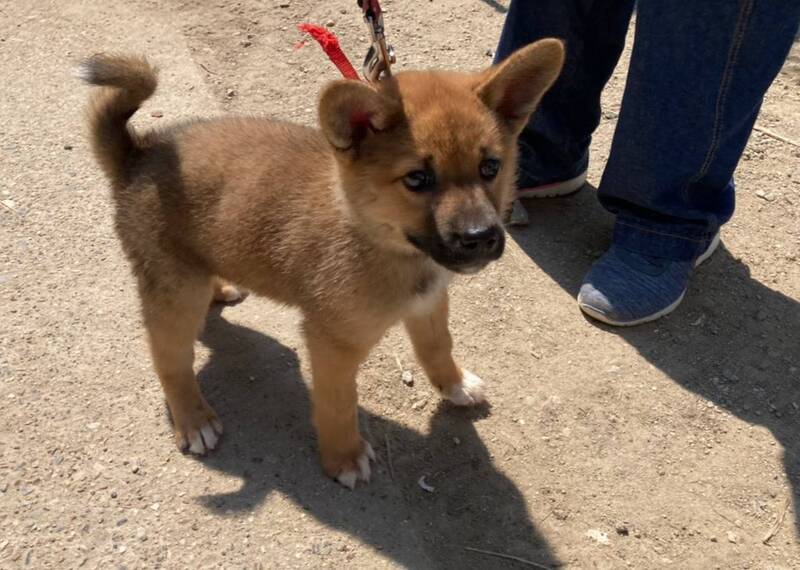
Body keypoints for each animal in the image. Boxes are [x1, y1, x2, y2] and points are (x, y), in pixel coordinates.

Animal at [78, 40, 564, 489]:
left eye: (490, 167)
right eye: (418, 179)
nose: (480, 238)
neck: (380, 240)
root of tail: (138, 153)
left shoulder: (429, 304)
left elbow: (438, 347)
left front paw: (455, 384)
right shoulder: (332, 343)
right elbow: (337, 404)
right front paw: (343, 457)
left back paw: (222, 288)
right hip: (175, 295)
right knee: (169, 359)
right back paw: (193, 418)